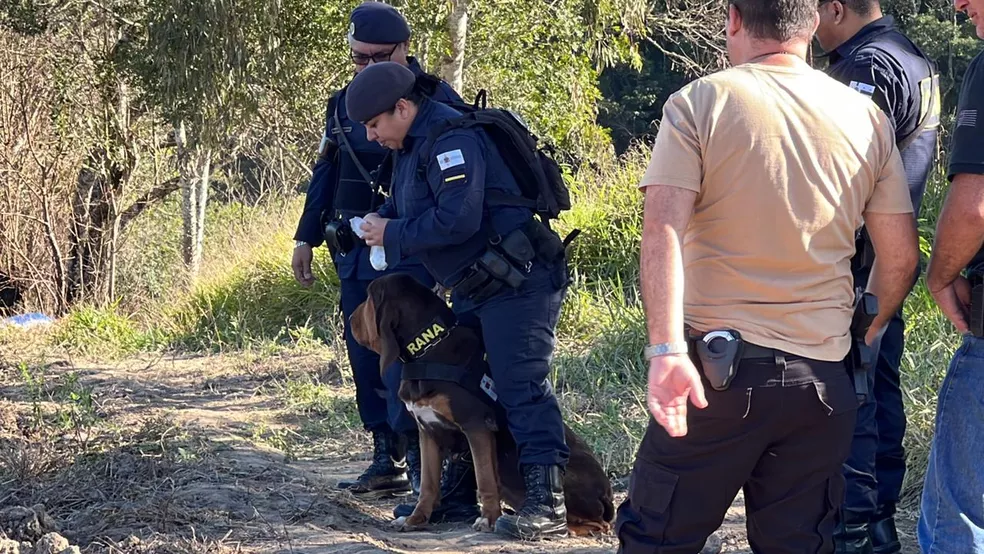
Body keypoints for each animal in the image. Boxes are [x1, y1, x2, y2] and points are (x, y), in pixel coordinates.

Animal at [352, 272, 616, 536]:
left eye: (368, 296)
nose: (351, 319)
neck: (427, 349)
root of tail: (608, 496)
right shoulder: (427, 431)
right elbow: (428, 484)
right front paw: (415, 519)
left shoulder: (476, 425)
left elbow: (484, 476)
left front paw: (488, 519)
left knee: (598, 524)